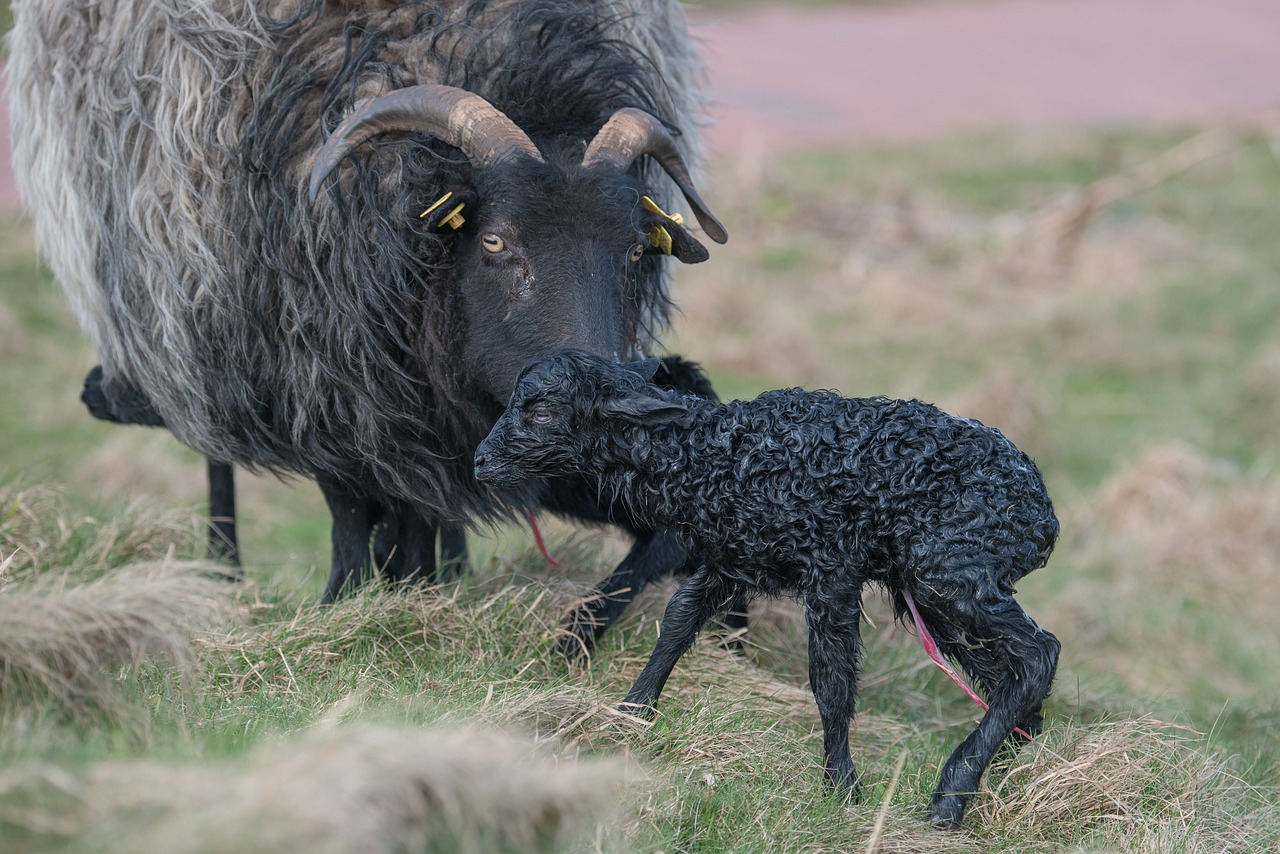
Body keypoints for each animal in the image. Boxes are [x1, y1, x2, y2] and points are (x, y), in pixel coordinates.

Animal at [476, 348, 1064, 829]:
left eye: (541, 409)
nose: (480, 461)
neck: (713, 456)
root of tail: (1043, 515)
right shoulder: (729, 561)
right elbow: (677, 623)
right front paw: (629, 715)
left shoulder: (831, 568)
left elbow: (830, 679)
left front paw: (841, 787)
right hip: (933, 588)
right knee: (1007, 672)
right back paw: (1003, 765)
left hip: (954, 569)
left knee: (1039, 653)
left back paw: (951, 795)